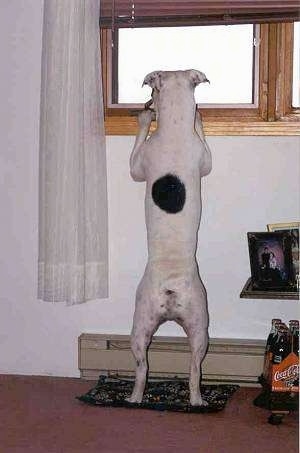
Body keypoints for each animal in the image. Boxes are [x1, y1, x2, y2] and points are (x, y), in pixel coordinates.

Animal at [127, 70, 212, 406]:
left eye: (152, 91)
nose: (146, 105)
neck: (175, 125)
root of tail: (171, 291)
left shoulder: (139, 165)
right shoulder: (203, 158)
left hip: (150, 324)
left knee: (145, 368)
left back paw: (138, 397)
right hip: (194, 328)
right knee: (190, 370)